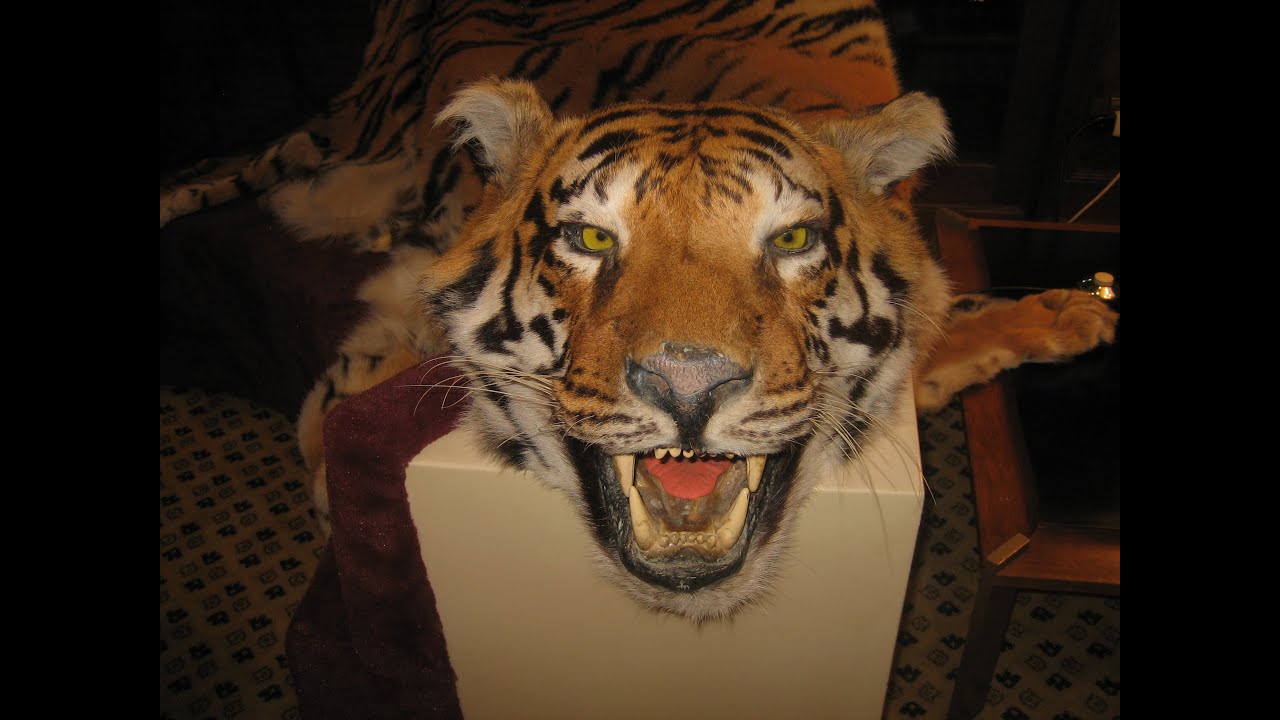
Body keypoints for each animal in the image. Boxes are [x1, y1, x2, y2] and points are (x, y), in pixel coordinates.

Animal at [162, 0, 1117, 621]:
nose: (688, 387)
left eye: (792, 239)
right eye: (590, 239)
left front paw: (1074, 312)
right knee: (240, 169)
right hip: (339, 126)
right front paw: (334, 473)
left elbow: (967, 326)